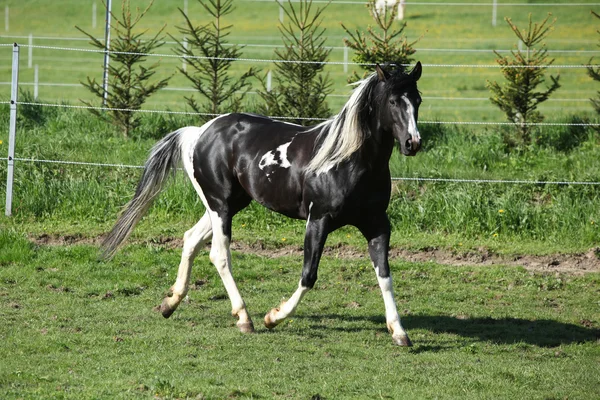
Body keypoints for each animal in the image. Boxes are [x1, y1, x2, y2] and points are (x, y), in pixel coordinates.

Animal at [102, 62, 422, 346]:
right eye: (393, 101)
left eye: (417, 100)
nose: (413, 143)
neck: (347, 160)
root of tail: (200, 132)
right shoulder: (318, 220)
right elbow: (308, 275)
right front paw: (273, 317)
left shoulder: (377, 224)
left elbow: (385, 276)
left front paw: (399, 333)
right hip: (220, 206)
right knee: (219, 255)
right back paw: (244, 318)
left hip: (226, 205)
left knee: (191, 238)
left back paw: (170, 304)